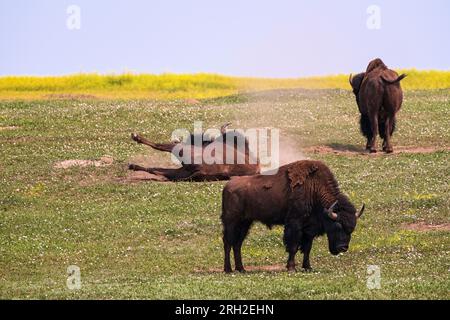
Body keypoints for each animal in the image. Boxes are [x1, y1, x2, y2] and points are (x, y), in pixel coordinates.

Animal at [128, 123, 260, 181]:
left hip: (182, 154)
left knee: (158, 149)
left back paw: (136, 138)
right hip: (181, 170)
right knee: (157, 170)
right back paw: (132, 166)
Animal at [221, 160, 366, 272]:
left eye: (352, 229)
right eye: (337, 226)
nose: (343, 248)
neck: (314, 188)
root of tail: (227, 186)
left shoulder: (309, 229)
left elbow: (307, 248)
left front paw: (308, 267)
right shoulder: (295, 223)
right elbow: (294, 246)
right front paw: (291, 268)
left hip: (245, 223)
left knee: (237, 244)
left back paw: (241, 269)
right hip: (231, 222)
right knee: (228, 243)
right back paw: (228, 269)